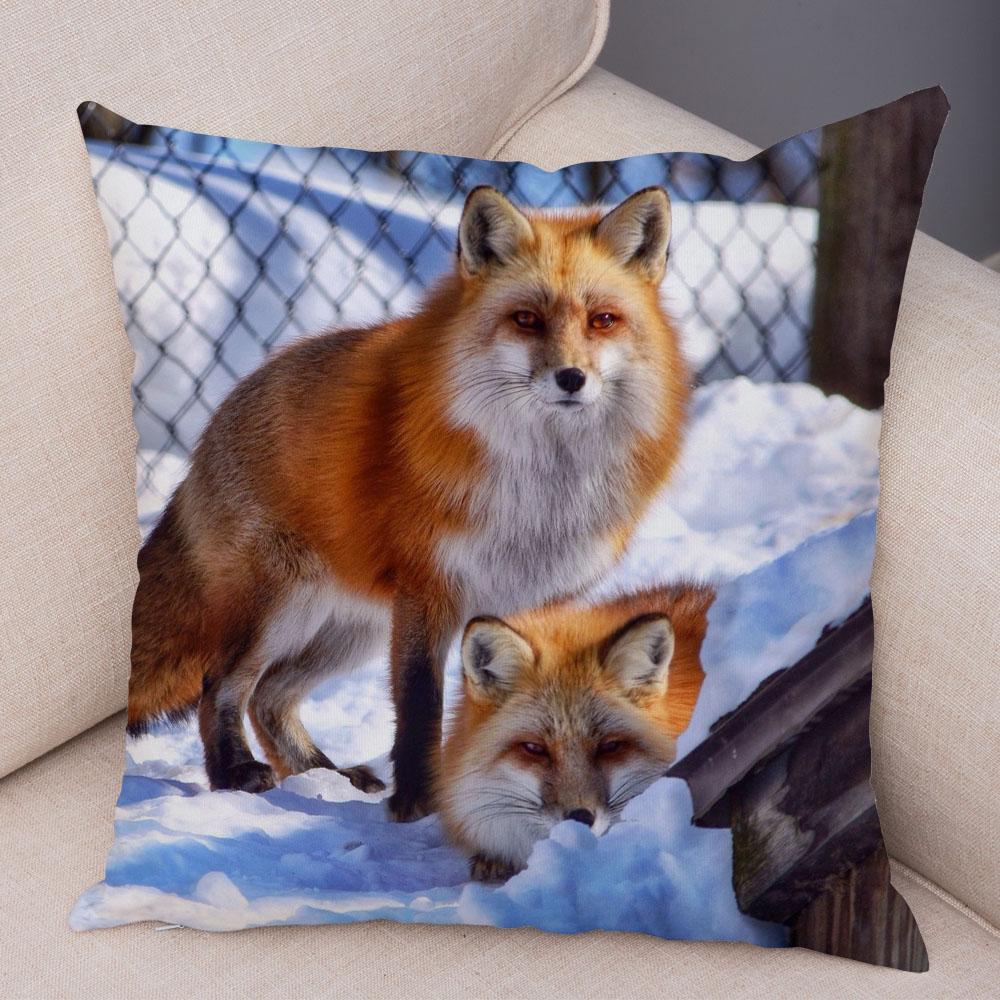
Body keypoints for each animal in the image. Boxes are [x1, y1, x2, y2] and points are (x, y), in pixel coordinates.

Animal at [127, 183, 690, 821]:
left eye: (603, 320)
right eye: (526, 319)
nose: (571, 377)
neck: (541, 491)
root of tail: (213, 424)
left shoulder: (541, 598)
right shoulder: (430, 587)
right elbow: (421, 704)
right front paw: (418, 805)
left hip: (353, 629)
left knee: (270, 696)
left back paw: (326, 776)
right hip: (279, 607)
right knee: (219, 685)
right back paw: (235, 774)